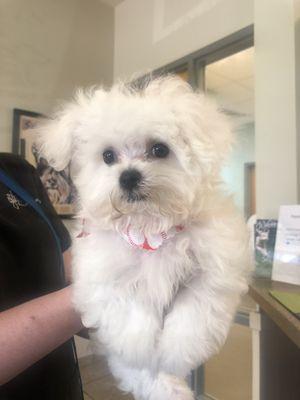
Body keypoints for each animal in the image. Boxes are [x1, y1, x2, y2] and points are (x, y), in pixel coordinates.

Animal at [39, 76, 251, 400]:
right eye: (108, 156)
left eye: (159, 149)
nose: (128, 176)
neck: (149, 227)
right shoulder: (106, 277)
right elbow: (132, 321)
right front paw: (142, 355)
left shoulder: (210, 273)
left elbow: (193, 317)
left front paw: (176, 354)